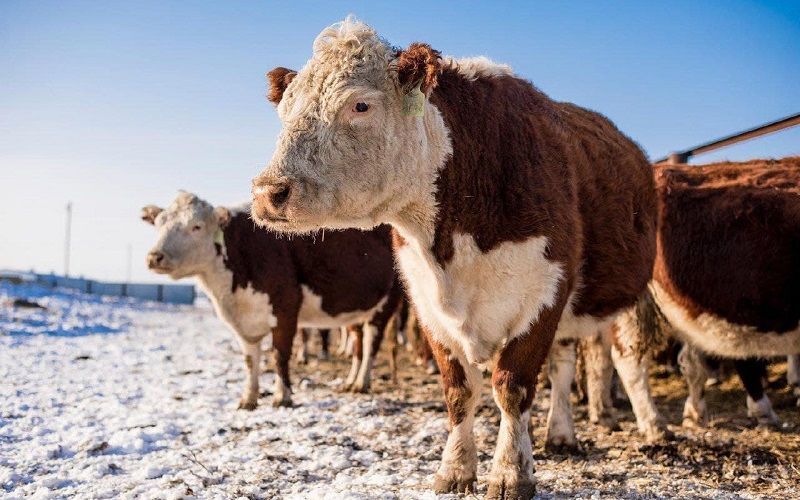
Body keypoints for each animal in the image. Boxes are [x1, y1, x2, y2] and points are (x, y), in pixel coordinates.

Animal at [141, 191, 404, 410]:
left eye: (196, 226)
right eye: (159, 224)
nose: (155, 256)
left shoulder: (286, 310)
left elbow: (280, 355)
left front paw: (282, 396)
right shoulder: (244, 323)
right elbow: (250, 361)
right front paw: (248, 398)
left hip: (387, 303)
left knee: (371, 343)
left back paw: (362, 383)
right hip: (356, 309)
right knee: (358, 343)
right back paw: (351, 381)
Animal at [250, 18, 656, 496]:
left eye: (360, 105)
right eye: (286, 110)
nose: (268, 192)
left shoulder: (544, 292)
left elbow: (512, 387)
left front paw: (511, 474)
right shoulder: (426, 304)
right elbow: (459, 391)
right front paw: (456, 468)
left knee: (585, 365)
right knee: (560, 363)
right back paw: (558, 433)